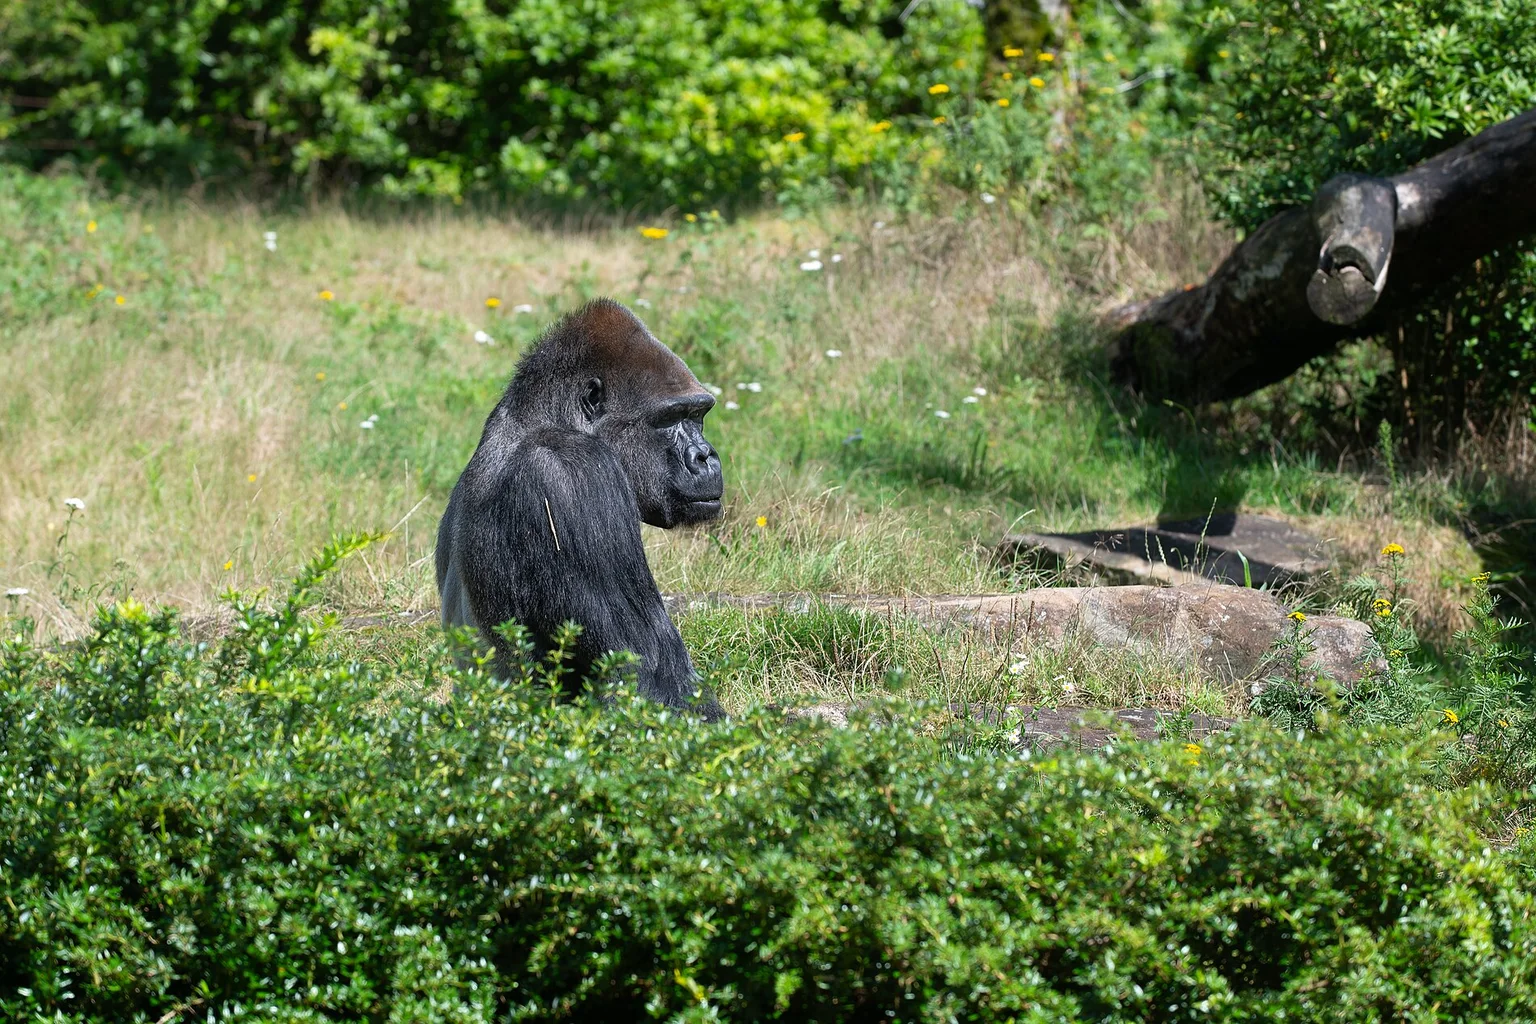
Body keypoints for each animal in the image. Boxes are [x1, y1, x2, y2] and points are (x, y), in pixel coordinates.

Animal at [435, 298, 725, 719]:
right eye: (671, 417)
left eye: (698, 415)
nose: (705, 455)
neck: (537, 421)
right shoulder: (575, 474)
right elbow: (646, 674)